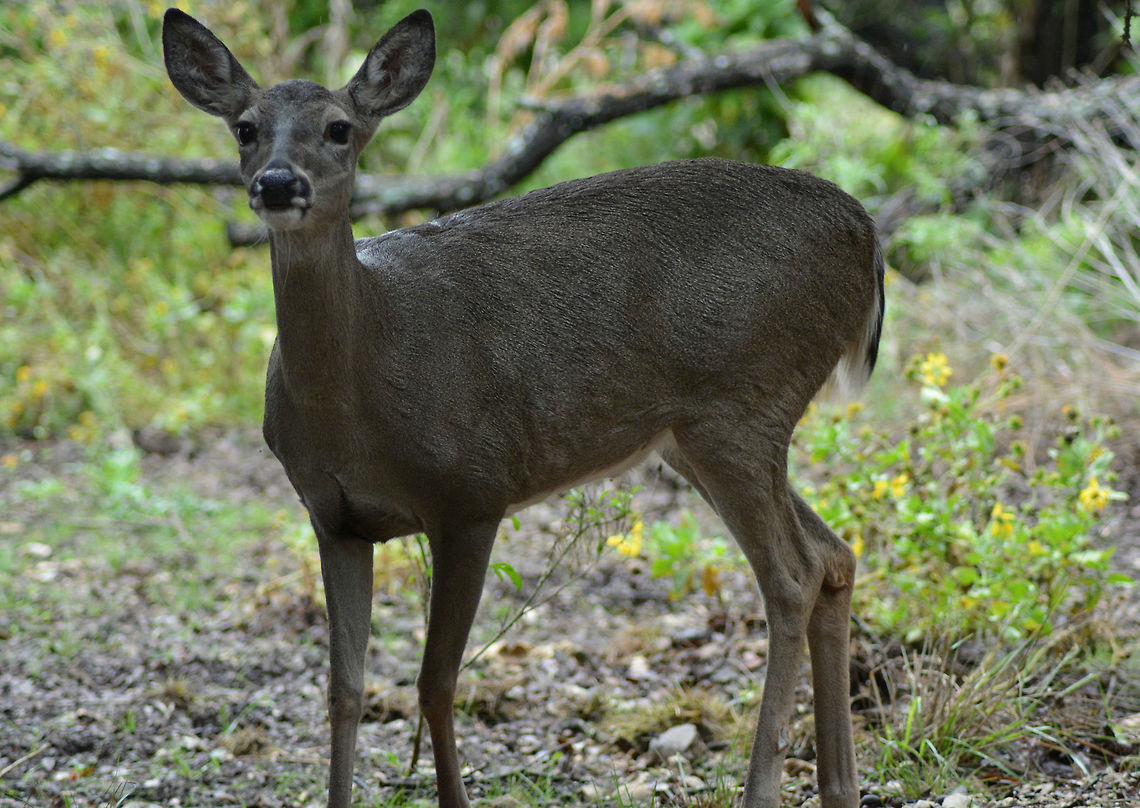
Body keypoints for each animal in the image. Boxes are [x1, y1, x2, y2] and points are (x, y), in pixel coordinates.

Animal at [162, 7, 884, 808]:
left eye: (339, 127)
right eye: (245, 127)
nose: (278, 183)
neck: (361, 390)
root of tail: (868, 237)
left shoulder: (471, 492)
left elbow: (436, 683)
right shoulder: (333, 516)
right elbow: (344, 689)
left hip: (743, 402)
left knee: (792, 577)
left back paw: (764, 786)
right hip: (702, 434)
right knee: (836, 553)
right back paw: (840, 787)